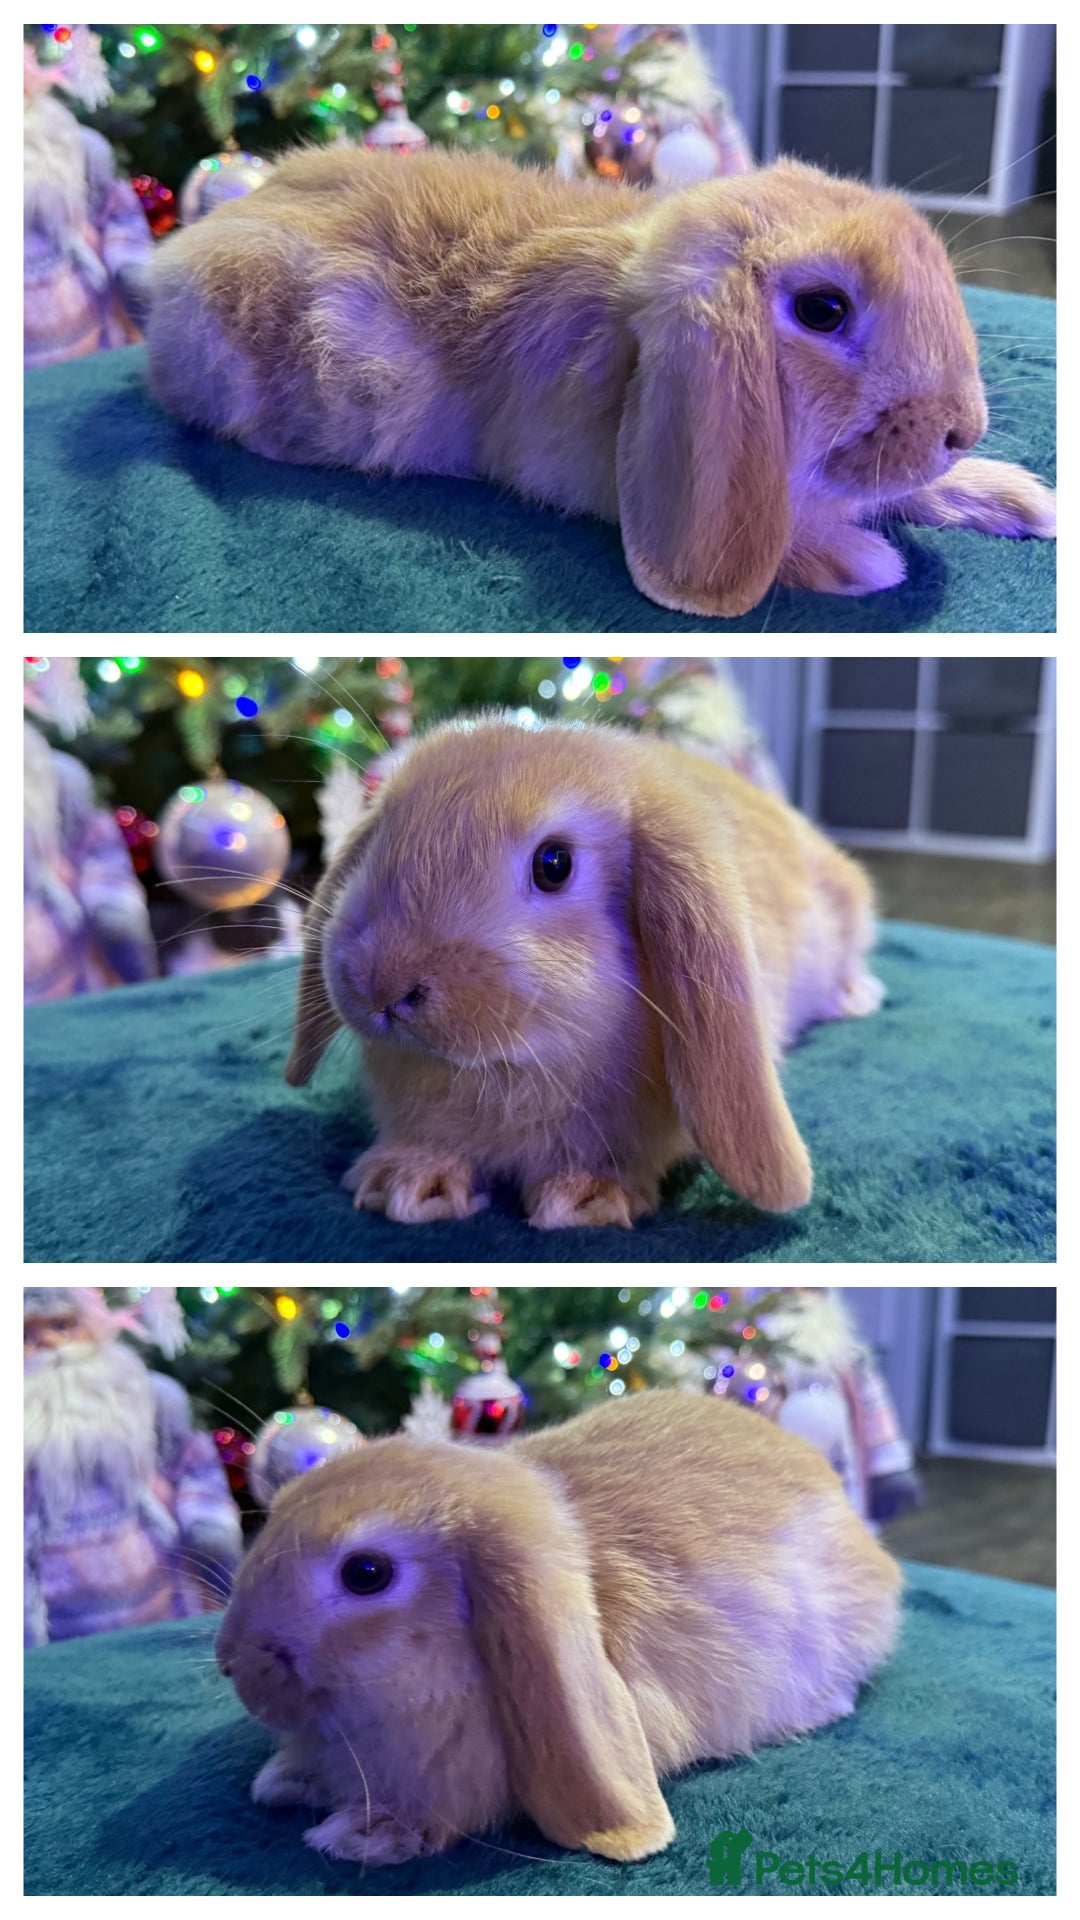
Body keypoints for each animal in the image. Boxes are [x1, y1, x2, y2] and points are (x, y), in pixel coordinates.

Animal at [143, 146, 1054, 618]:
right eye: (823, 310)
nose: (962, 428)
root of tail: (175, 255)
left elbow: (910, 489)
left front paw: (1021, 500)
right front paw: (866, 563)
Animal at [285, 713, 885, 1230]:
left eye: (554, 864)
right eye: (384, 834)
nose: (380, 984)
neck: (506, 1068)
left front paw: (585, 1199)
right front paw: (403, 1184)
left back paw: (857, 996)